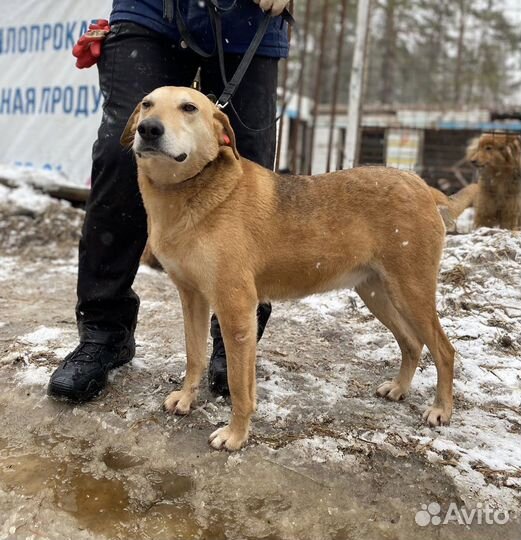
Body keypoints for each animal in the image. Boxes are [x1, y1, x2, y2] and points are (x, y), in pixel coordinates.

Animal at [122, 86, 456, 452]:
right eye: (146, 104)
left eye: (189, 108)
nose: (149, 129)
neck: (190, 191)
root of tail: (422, 185)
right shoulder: (192, 296)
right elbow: (194, 355)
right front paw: (186, 398)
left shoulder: (237, 310)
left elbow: (240, 386)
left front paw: (235, 435)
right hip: (376, 292)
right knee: (412, 343)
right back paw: (399, 388)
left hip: (411, 291)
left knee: (444, 350)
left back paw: (441, 410)